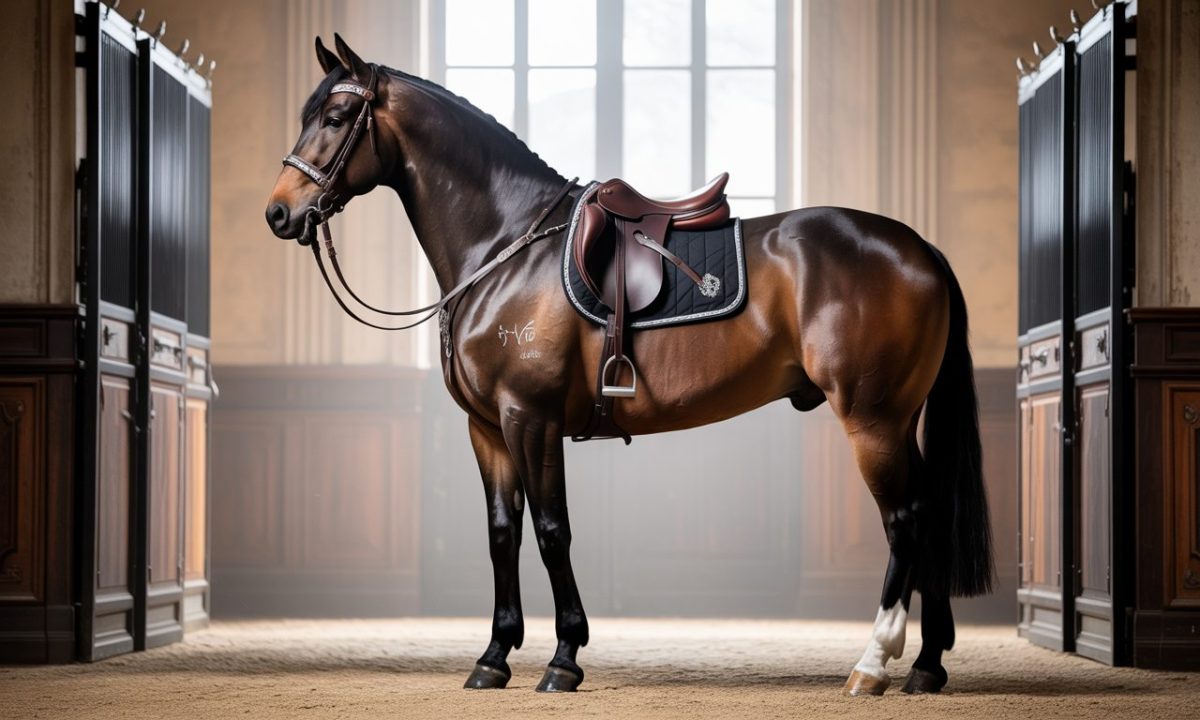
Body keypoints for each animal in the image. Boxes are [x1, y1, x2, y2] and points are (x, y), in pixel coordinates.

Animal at [265, 34, 994, 696]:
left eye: (337, 116)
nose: (279, 212)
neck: (507, 247)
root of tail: (920, 248)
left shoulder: (530, 419)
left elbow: (551, 531)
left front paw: (564, 658)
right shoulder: (487, 428)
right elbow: (503, 534)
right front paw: (494, 657)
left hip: (873, 421)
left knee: (905, 522)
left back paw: (873, 664)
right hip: (899, 421)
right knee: (930, 517)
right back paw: (927, 666)